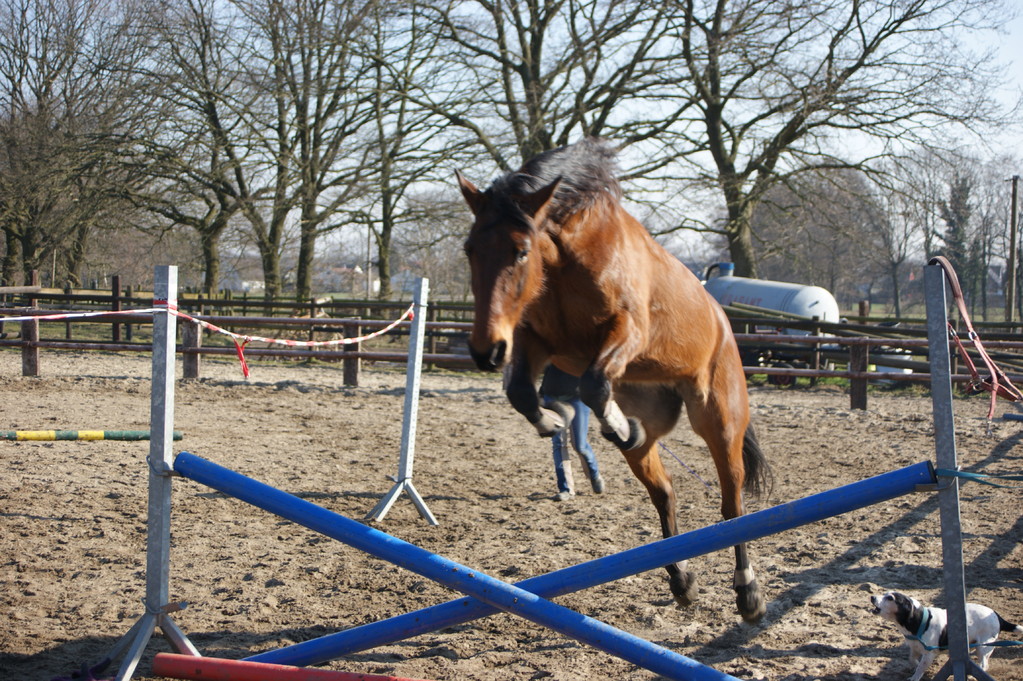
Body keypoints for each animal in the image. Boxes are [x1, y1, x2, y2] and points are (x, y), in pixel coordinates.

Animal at [460, 138, 769, 621]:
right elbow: (521, 392)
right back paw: (681, 580)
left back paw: (748, 592)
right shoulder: (535, 340)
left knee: (732, 504)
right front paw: (554, 421)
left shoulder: (627, 331)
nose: (485, 351)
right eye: (470, 250)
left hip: (719, 419)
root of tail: (724, 321)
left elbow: (591, 384)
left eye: (521, 251)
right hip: (653, 422)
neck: (566, 262)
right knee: (664, 491)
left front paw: (605, 424)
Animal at [871, 584, 1023, 674]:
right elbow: (912, 660)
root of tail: (997, 616)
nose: (872, 597)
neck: (921, 622)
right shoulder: (914, 648)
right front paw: (913, 666)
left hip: (984, 647)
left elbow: (919, 670)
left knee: (983, 665)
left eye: (890, 598)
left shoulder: (928, 655)